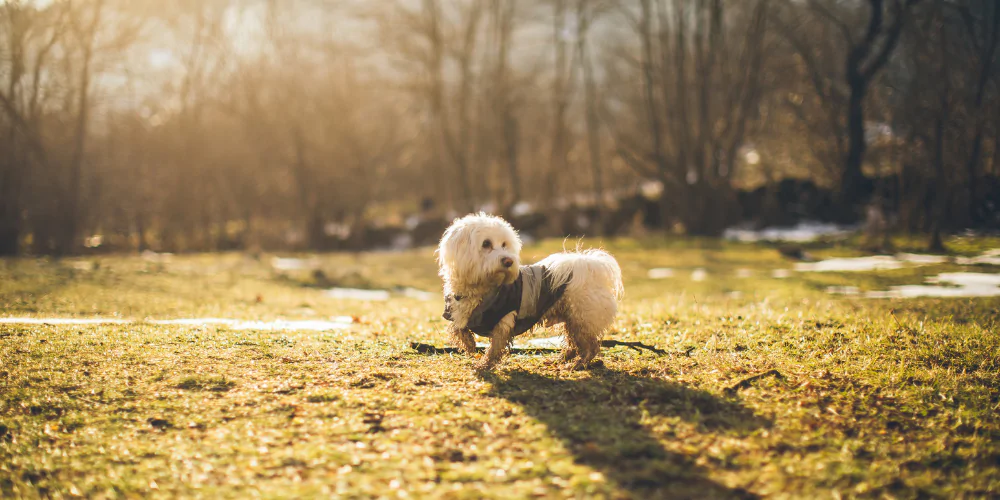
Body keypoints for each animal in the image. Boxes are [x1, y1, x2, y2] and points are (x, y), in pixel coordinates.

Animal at [436, 213, 620, 370]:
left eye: (504, 244)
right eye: (486, 243)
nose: (508, 261)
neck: (482, 288)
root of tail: (589, 267)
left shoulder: (504, 319)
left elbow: (495, 347)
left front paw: (485, 365)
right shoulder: (456, 312)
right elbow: (457, 329)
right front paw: (469, 344)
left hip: (582, 318)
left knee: (591, 346)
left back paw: (577, 364)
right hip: (571, 318)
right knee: (573, 343)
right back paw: (561, 359)